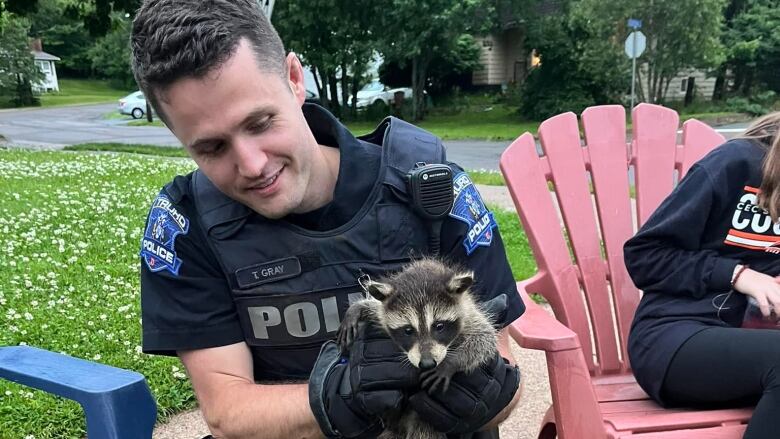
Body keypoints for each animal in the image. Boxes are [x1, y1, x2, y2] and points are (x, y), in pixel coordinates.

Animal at [336, 258, 496, 439]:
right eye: (408, 330)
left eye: (439, 326)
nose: (427, 363)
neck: (422, 274)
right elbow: (377, 308)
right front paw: (359, 308)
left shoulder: (469, 314)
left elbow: (485, 338)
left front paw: (451, 363)